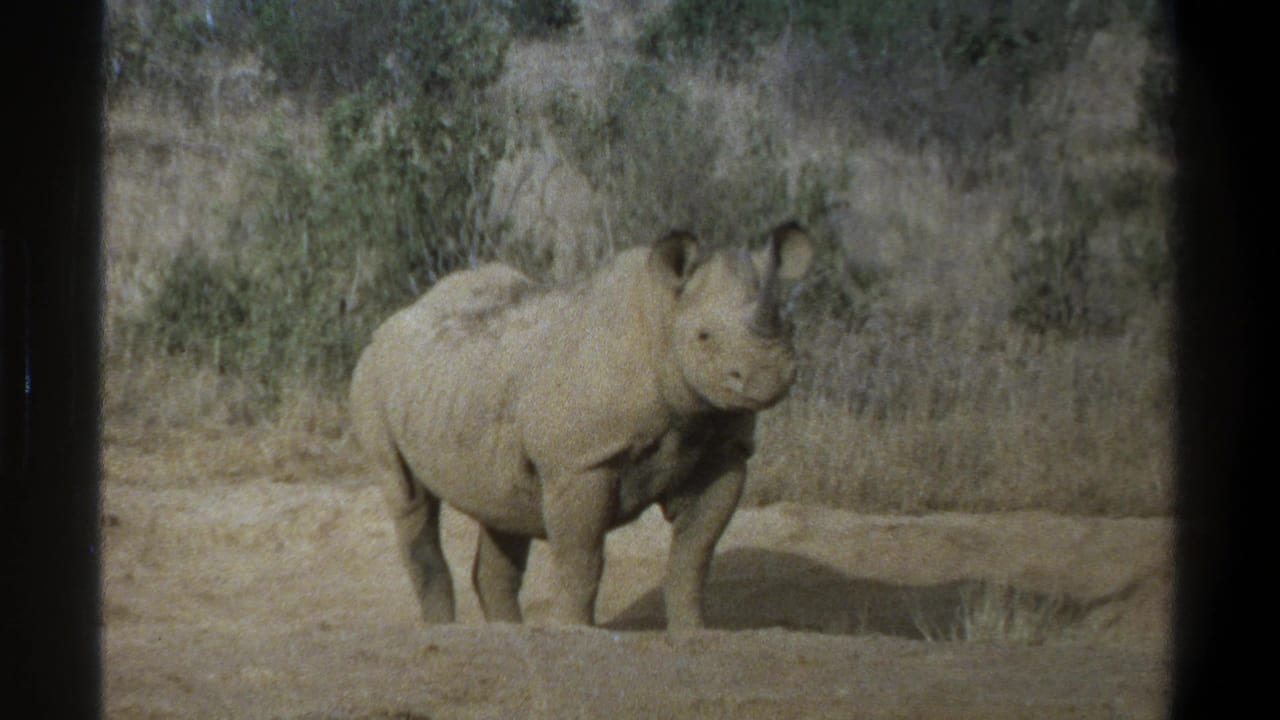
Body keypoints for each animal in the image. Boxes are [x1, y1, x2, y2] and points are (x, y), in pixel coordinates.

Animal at [350, 221, 814, 628]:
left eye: (791, 327)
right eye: (703, 337)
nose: (768, 375)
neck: (662, 319)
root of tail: (397, 318)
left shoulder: (723, 449)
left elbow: (694, 556)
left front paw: (693, 632)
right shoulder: (580, 462)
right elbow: (582, 558)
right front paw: (576, 631)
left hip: (458, 383)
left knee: (501, 508)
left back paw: (507, 634)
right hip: (373, 379)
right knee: (409, 498)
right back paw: (444, 630)